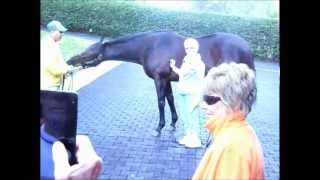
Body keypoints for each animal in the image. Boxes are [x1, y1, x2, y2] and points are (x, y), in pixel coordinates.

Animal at [67, 31, 255, 136]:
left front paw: (159, 128)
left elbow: (161, 102)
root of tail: (246, 47)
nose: (70, 60)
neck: (149, 46)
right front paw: (172, 123)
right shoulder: (167, 79)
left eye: (88, 52)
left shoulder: (160, 79)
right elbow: (170, 99)